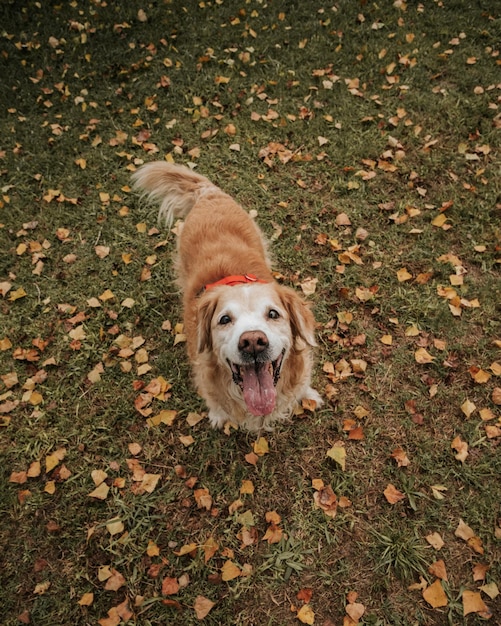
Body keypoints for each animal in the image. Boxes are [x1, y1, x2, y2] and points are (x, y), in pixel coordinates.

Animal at [131, 161, 322, 428]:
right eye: (224, 319)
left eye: (273, 314)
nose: (253, 342)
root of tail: (208, 194)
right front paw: (218, 415)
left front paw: (308, 395)